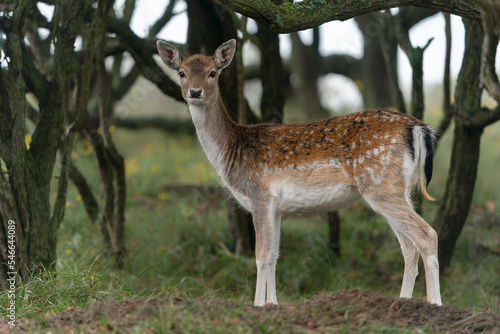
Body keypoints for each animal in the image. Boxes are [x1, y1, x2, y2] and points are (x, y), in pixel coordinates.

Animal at [156, 37, 442, 306]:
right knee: (408, 246)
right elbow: (274, 255)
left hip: (381, 185)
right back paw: (404, 302)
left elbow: (260, 256)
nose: (195, 92)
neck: (232, 150)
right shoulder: (277, 207)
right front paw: (273, 304)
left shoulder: (260, 196)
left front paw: (257, 305)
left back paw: (434, 304)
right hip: (396, 188)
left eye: (213, 72)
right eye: (181, 72)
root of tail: (418, 127)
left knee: (427, 235)